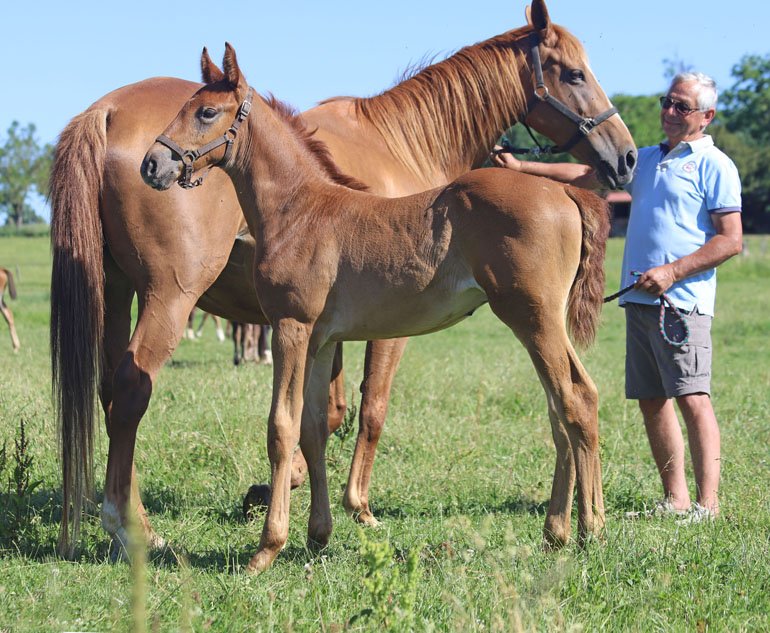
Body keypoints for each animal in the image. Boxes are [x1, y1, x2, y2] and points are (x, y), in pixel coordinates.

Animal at [51, 0, 636, 559]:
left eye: (208, 111)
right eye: (574, 73)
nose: (154, 164)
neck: (302, 205)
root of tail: (562, 191)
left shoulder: (300, 328)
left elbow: (301, 422)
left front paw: (279, 539)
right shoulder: (318, 336)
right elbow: (315, 423)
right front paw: (314, 528)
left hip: (533, 318)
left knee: (573, 400)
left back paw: (586, 527)